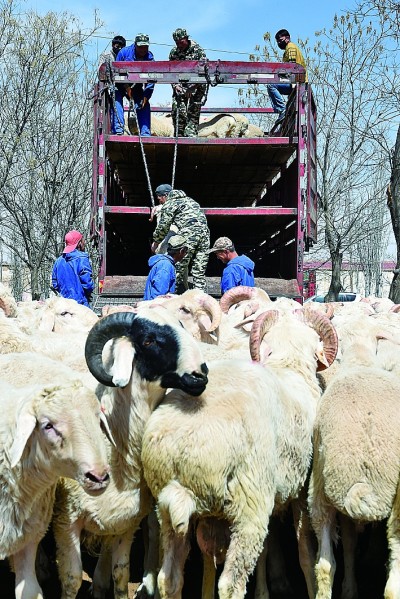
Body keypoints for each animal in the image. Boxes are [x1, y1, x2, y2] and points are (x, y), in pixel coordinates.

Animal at [51, 308, 209, 596]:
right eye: (148, 340)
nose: (199, 375)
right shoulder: (66, 520)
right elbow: (71, 579)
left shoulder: (127, 522)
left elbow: (121, 574)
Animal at [141, 308, 338, 596]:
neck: (289, 367)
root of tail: (181, 449)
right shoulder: (300, 490)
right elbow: (304, 550)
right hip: (249, 506)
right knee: (230, 585)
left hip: (166, 509)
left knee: (169, 579)